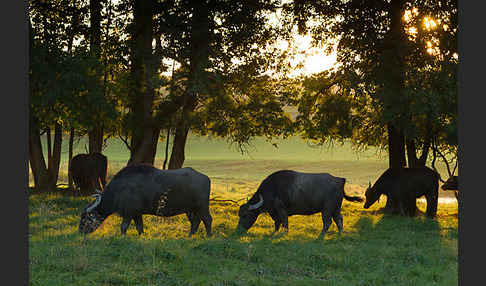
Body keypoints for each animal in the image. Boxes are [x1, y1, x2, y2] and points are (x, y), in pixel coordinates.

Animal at [79, 164, 212, 236]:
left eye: (85, 217)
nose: (80, 231)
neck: (119, 190)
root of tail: (206, 178)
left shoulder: (129, 213)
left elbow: (123, 227)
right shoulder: (137, 214)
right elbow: (140, 228)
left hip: (202, 207)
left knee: (207, 220)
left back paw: (209, 236)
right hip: (191, 210)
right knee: (195, 222)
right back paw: (190, 236)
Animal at [235, 170, 364, 239]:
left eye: (246, 215)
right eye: (239, 215)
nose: (238, 230)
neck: (272, 189)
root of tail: (339, 180)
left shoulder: (281, 210)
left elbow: (284, 222)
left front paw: (284, 233)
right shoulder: (274, 212)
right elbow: (277, 223)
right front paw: (275, 232)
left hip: (327, 209)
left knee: (328, 222)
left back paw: (321, 236)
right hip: (336, 208)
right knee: (339, 220)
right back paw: (339, 234)